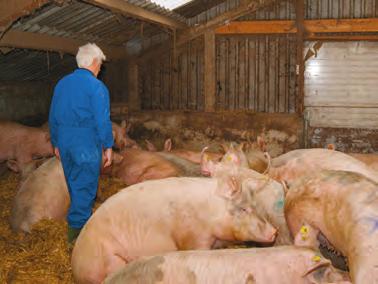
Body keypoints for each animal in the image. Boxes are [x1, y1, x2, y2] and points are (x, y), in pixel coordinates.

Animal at [71, 175, 278, 284]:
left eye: (256, 205)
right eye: (243, 209)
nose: (274, 232)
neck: (211, 213)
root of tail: (76, 264)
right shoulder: (193, 236)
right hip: (109, 260)